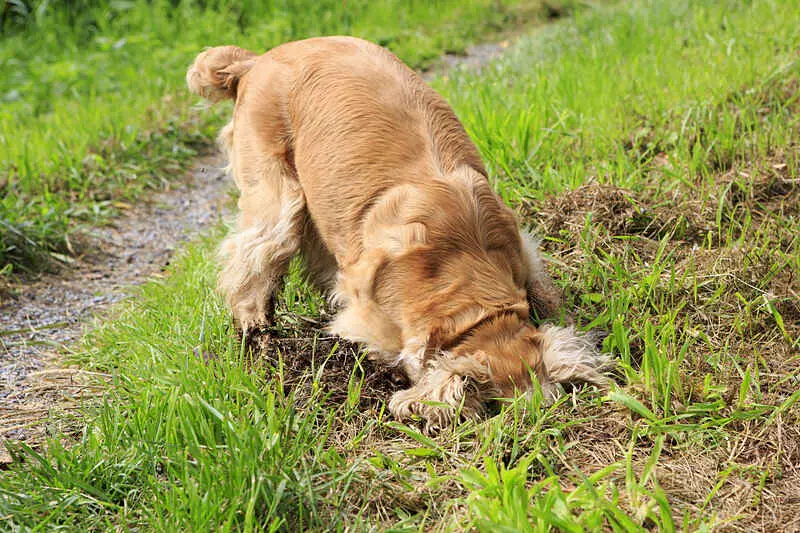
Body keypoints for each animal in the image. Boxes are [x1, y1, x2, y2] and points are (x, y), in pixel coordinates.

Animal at [188, 36, 608, 428]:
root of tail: (255, 60)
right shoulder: (371, 313)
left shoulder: (521, 249)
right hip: (274, 194)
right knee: (251, 259)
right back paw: (257, 334)